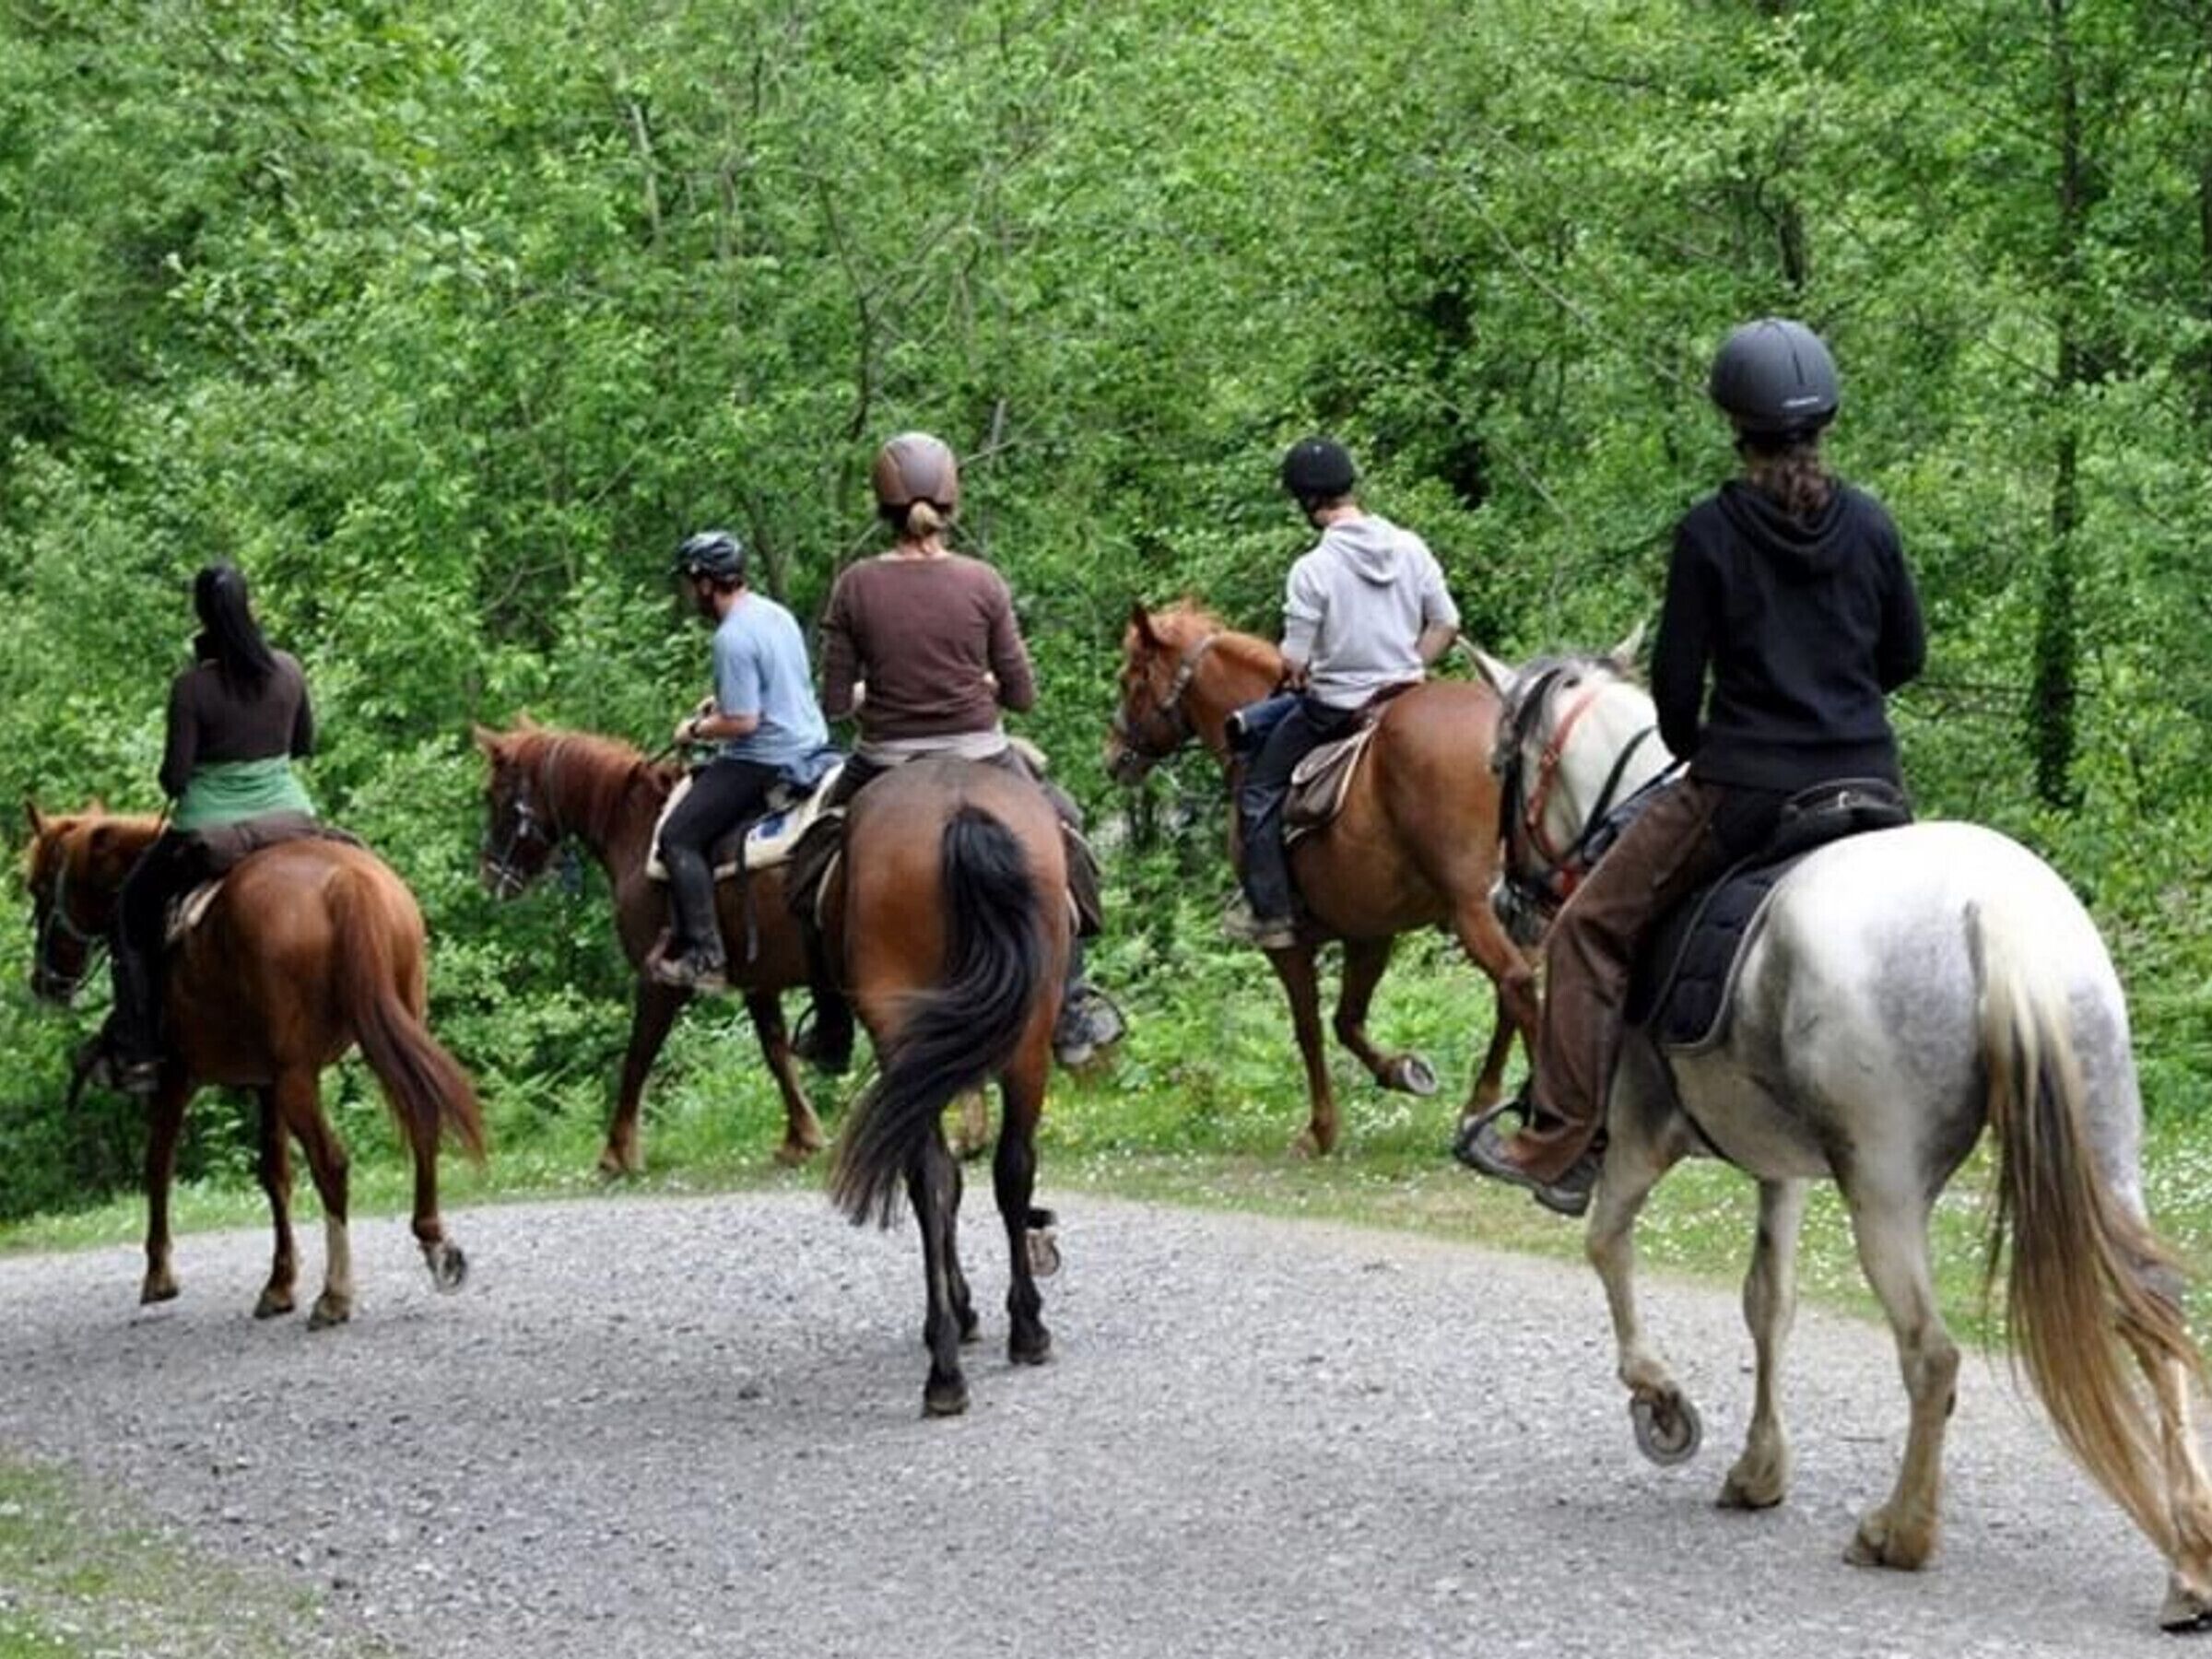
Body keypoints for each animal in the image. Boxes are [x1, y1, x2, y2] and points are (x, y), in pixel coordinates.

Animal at [22, 805, 484, 1326]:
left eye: (39, 886)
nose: (45, 981)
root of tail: (346, 883)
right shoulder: (265, 1084)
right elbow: (274, 1173)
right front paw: (279, 1284)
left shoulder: (178, 1078)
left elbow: (157, 1162)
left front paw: (159, 1274)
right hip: (381, 1036)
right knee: (421, 1122)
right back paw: (436, 1247)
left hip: (297, 1078)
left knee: (332, 1164)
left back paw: (335, 1293)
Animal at [473, 720, 826, 1172]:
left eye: (493, 794)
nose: (490, 876)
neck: (636, 827)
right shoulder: (757, 980)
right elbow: (776, 1051)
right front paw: (801, 1139)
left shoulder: (657, 979)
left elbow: (637, 1057)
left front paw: (617, 1153)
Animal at [825, 757, 1067, 1417]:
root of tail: (958, 809)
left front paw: (960, 1313)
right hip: (1024, 1040)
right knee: (1005, 1169)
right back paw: (1020, 1331)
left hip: (912, 1034)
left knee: (938, 1175)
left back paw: (947, 1366)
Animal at [1106, 601, 1535, 1155]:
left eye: (1127, 679)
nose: (1114, 757)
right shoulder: (1369, 931)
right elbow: (1346, 1020)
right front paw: (1402, 1071)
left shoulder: (1287, 940)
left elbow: (1309, 1025)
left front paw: (1320, 1129)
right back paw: (1483, 1107)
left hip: (1475, 908)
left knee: (1517, 984)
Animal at [1476, 645, 2212, 1632]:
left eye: (1498, 767)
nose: (1502, 899)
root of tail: (1996, 911)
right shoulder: (1779, 1170)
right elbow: (1768, 1301)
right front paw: (1758, 1470)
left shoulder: (1637, 1136)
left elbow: (1607, 1246)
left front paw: (1662, 1402)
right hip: (2104, 1151)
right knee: (2153, 1317)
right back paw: (2188, 1569)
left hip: (1884, 1190)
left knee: (1933, 1354)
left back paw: (1899, 1532)